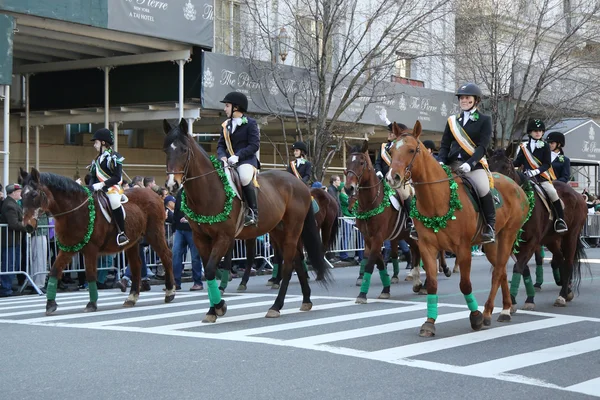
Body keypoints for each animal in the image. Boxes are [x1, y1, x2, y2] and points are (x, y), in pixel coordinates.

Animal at [18, 167, 173, 314]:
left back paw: (170, 292)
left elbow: (91, 274)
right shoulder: (68, 248)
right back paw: (132, 297)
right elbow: (55, 271)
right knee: (136, 266)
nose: (27, 226)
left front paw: (91, 304)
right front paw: (50, 304)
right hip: (133, 242)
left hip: (154, 234)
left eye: (34, 194)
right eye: (21, 195)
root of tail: (153, 194)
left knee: (166, 256)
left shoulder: (90, 249)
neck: (75, 211)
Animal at [164, 119, 330, 322]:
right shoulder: (200, 238)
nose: (172, 185)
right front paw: (213, 309)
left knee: (289, 264)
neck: (209, 191)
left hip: (292, 230)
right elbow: (210, 269)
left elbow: (211, 269)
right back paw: (306, 299)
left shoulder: (224, 237)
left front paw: (219, 306)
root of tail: (301, 185)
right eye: (166, 149)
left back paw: (276, 305)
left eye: (184, 150)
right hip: (278, 230)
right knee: (297, 260)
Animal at [342, 139, 422, 302]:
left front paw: (362, 294)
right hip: (406, 236)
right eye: (347, 162)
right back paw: (417, 282)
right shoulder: (369, 238)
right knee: (415, 252)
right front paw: (386, 289)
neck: (371, 203)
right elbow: (378, 262)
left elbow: (370, 263)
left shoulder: (378, 237)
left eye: (361, 162)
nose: (348, 188)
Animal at [386, 120, 528, 336]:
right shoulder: (427, 247)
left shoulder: (463, 248)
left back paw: (489, 313)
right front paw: (429, 322)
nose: (392, 178)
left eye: (411, 150)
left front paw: (475, 317)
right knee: (501, 269)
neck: (438, 198)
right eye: (391, 150)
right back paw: (505, 307)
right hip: (491, 244)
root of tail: (517, 186)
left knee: (498, 271)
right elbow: (433, 284)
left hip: (508, 235)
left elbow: (465, 284)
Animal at [488, 148, 584, 310]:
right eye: (488, 167)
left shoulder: (532, 241)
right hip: (552, 240)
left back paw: (562, 296)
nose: (495, 195)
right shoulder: (514, 242)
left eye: (506, 167)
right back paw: (567, 290)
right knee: (560, 259)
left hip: (570, 236)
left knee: (568, 262)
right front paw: (520, 299)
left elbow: (519, 266)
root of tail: (578, 195)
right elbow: (522, 267)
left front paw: (519, 300)